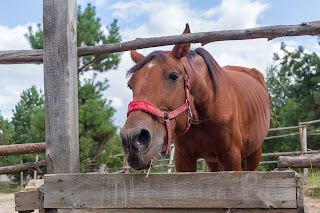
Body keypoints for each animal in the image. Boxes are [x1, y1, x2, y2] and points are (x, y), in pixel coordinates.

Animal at [120, 24, 270, 172]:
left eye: (173, 76)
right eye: (130, 85)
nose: (131, 139)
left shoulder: (231, 157)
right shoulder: (184, 158)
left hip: (254, 153)